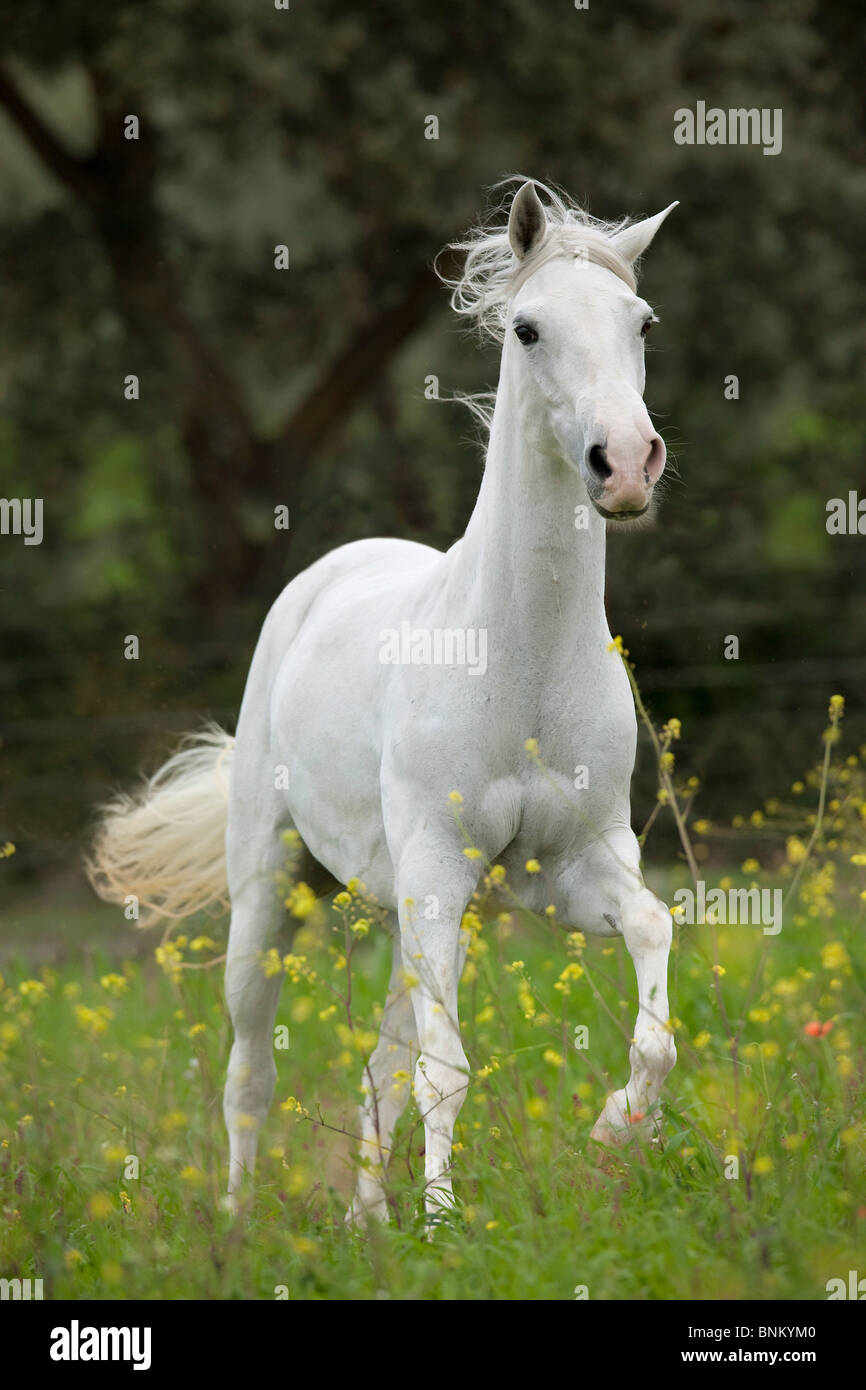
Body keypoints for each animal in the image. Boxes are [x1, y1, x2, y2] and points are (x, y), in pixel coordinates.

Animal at [89, 179, 683, 1223]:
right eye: (527, 328)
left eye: (641, 321)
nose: (625, 464)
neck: (521, 661)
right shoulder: (437, 874)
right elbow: (447, 1071)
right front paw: (445, 1227)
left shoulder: (573, 871)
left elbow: (654, 959)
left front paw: (617, 1128)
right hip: (274, 895)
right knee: (251, 1071)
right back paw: (239, 1225)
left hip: (424, 915)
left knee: (380, 1063)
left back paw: (367, 1220)